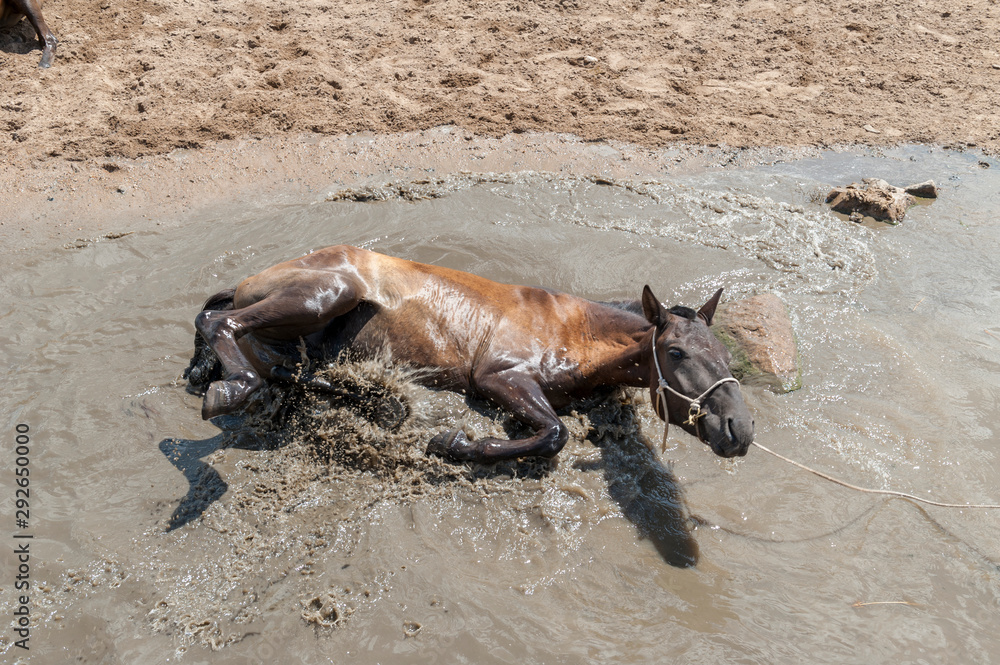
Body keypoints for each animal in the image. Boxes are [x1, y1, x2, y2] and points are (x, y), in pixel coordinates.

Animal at [191, 245, 754, 462]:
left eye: (726, 356)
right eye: (676, 352)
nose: (740, 430)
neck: (576, 331)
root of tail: (246, 282)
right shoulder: (499, 377)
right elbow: (554, 433)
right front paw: (456, 442)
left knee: (288, 369)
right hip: (327, 292)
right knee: (221, 325)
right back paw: (230, 388)